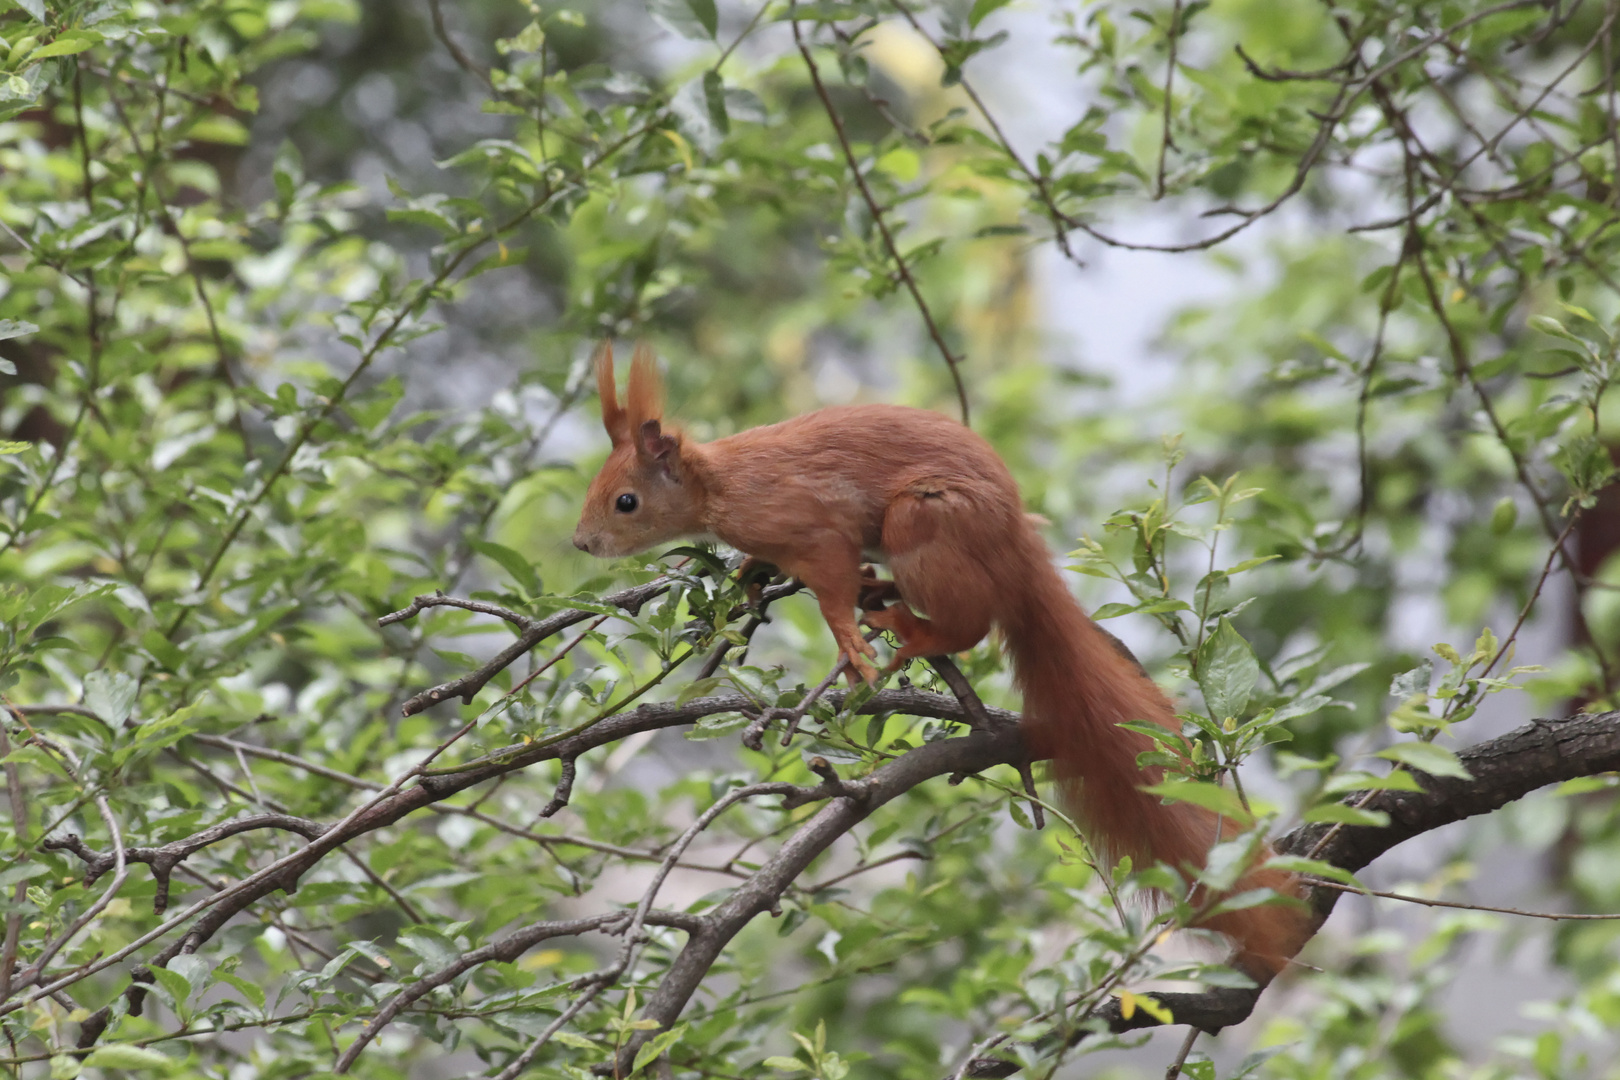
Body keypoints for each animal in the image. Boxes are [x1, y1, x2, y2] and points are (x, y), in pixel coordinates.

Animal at [576, 344, 1308, 977]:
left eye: (626, 501)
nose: (581, 543)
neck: (722, 482)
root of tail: (1014, 542)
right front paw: (751, 575)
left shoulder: (811, 525)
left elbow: (831, 582)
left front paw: (848, 645)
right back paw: (882, 593)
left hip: (923, 524)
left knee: (969, 624)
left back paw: (905, 625)